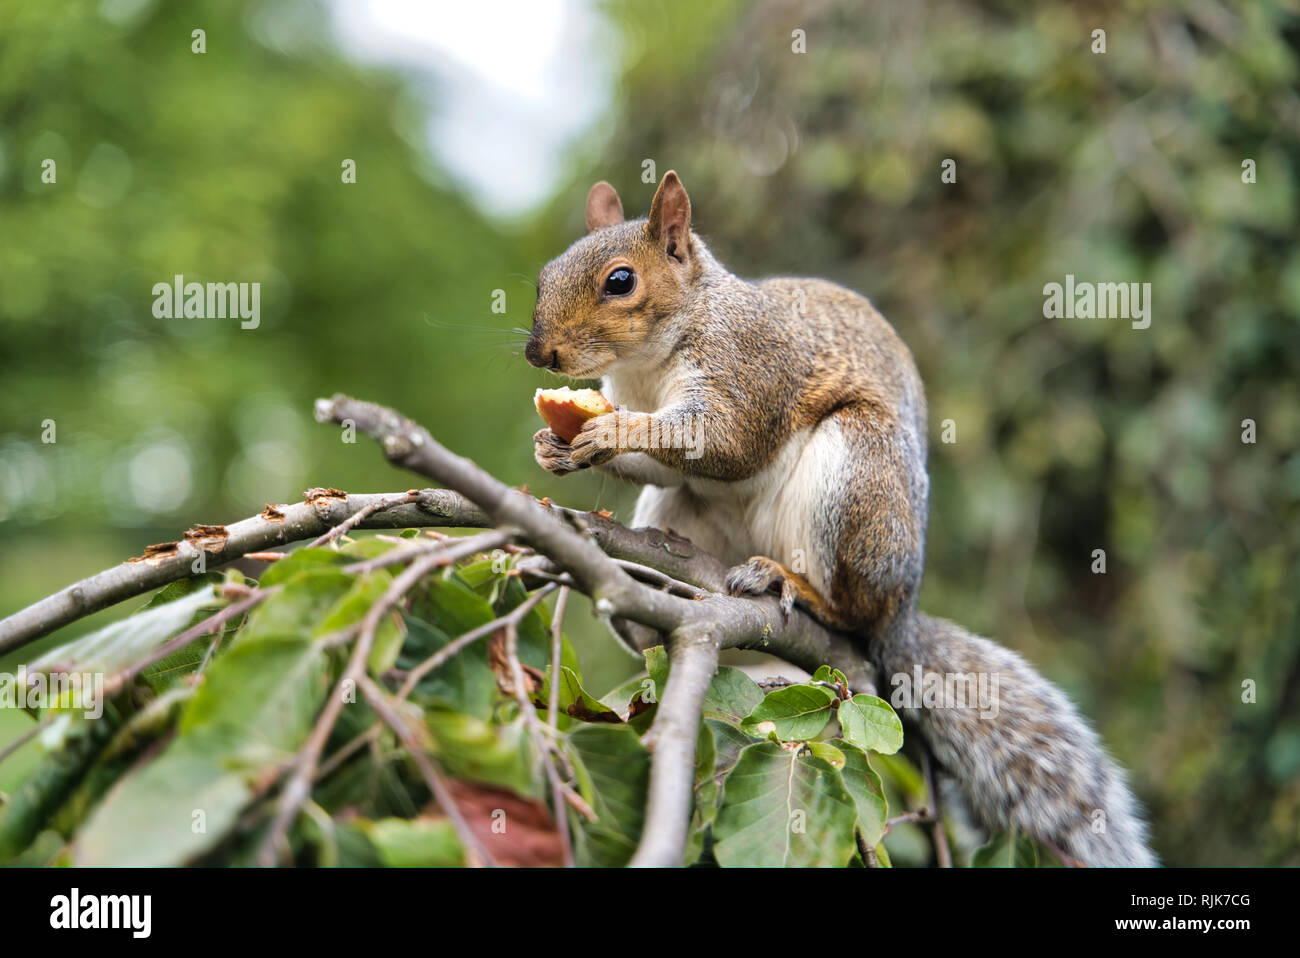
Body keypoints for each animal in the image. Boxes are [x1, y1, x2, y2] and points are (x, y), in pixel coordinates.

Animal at [526, 170, 1156, 867]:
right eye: (543, 277)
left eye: (620, 281)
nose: (539, 352)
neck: (652, 359)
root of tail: (902, 613)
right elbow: (663, 469)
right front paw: (555, 447)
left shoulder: (753, 368)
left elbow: (726, 441)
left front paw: (611, 431)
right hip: (688, 515)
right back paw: (650, 601)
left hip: (858, 476)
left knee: (852, 610)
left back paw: (791, 586)